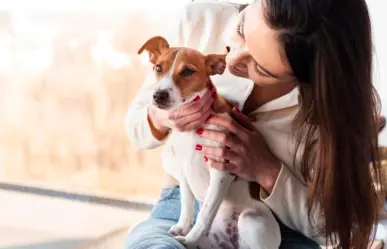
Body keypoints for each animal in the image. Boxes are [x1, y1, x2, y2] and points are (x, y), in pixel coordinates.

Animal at [138, 35, 280, 249]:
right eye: (158, 68)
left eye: (187, 71)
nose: (158, 95)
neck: (193, 131)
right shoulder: (184, 172)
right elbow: (187, 203)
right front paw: (183, 227)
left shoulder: (221, 171)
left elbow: (206, 212)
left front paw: (189, 239)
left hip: (251, 221)